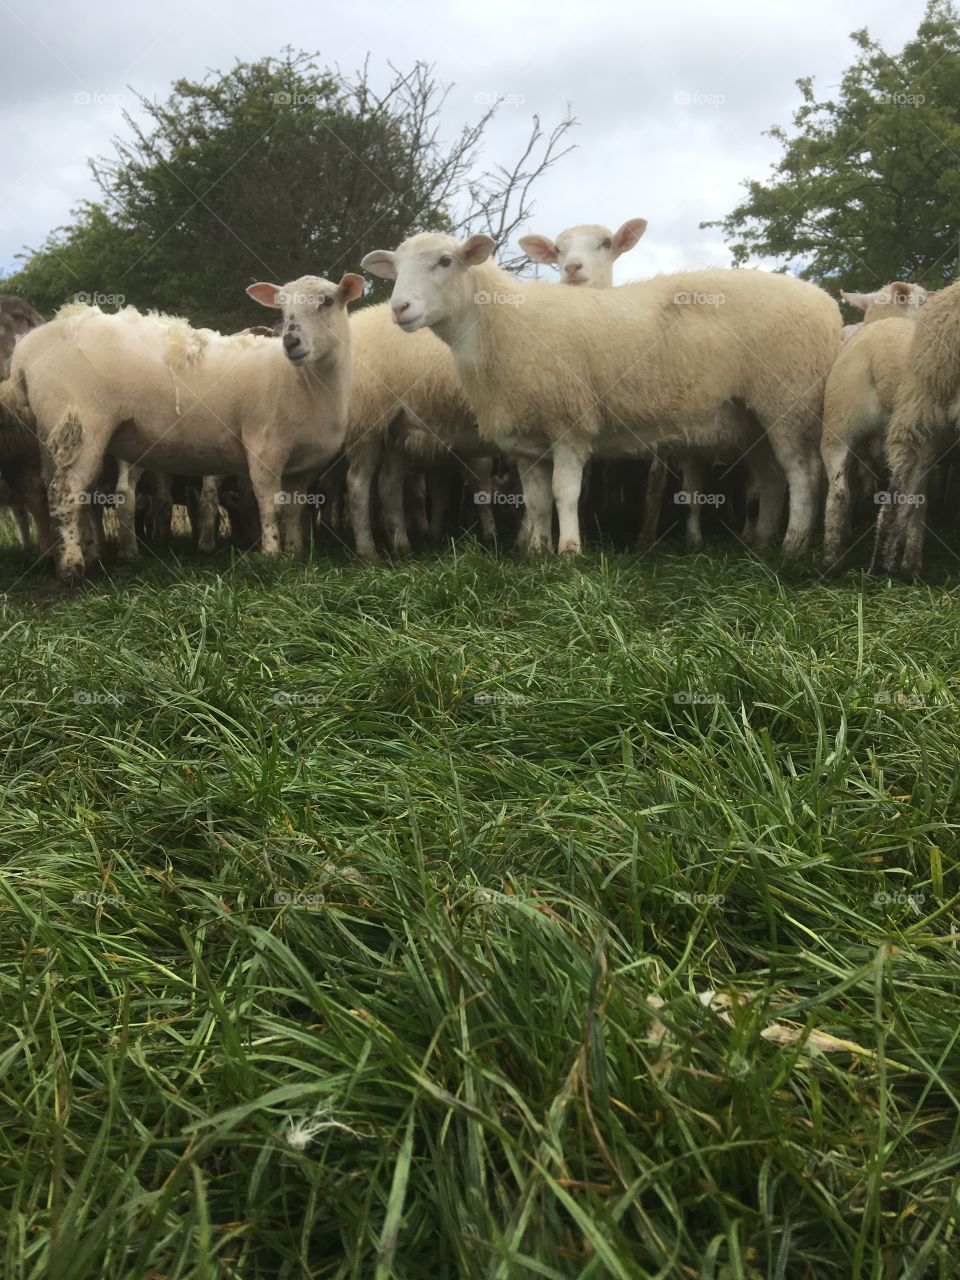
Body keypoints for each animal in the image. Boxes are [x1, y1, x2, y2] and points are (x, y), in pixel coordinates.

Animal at [9, 273, 364, 582]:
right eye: (283, 307)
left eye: (327, 301)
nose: (290, 342)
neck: (302, 381)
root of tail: (24, 352)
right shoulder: (264, 448)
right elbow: (270, 505)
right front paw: (272, 556)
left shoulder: (302, 466)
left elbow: (294, 510)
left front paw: (297, 555)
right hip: (81, 422)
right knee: (65, 492)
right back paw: (73, 568)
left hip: (58, 431)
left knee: (67, 491)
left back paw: (84, 557)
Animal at [362, 233, 841, 555]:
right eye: (396, 267)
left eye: (445, 261)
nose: (399, 308)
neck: (497, 323)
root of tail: (825, 301)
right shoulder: (525, 440)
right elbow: (536, 500)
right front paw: (536, 553)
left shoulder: (569, 422)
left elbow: (564, 492)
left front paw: (570, 553)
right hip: (753, 417)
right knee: (774, 477)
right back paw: (760, 542)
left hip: (788, 399)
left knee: (802, 474)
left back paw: (792, 547)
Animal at [822, 282, 930, 570]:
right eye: (923, 301)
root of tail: (882, 356)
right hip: (919, 434)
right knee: (913, 500)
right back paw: (910, 564)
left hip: (838, 425)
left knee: (838, 493)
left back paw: (832, 560)